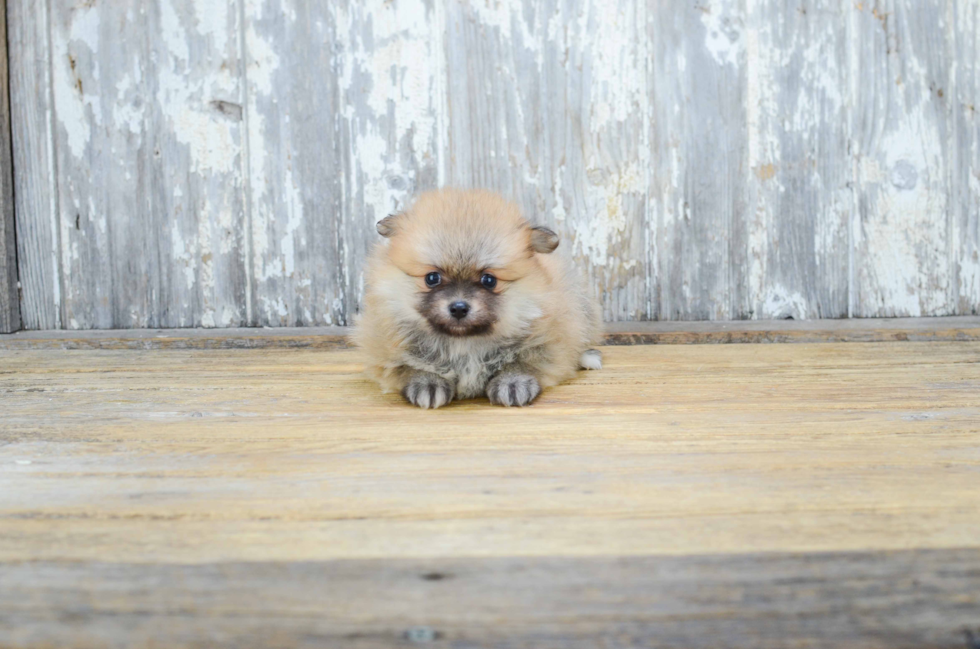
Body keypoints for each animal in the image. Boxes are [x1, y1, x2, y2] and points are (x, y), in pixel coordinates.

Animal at [348, 189, 600, 404]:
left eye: (489, 280)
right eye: (432, 278)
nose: (459, 307)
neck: (464, 343)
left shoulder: (550, 341)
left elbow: (525, 362)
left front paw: (512, 382)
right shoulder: (382, 345)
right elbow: (406, 366)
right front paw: (427, 382)